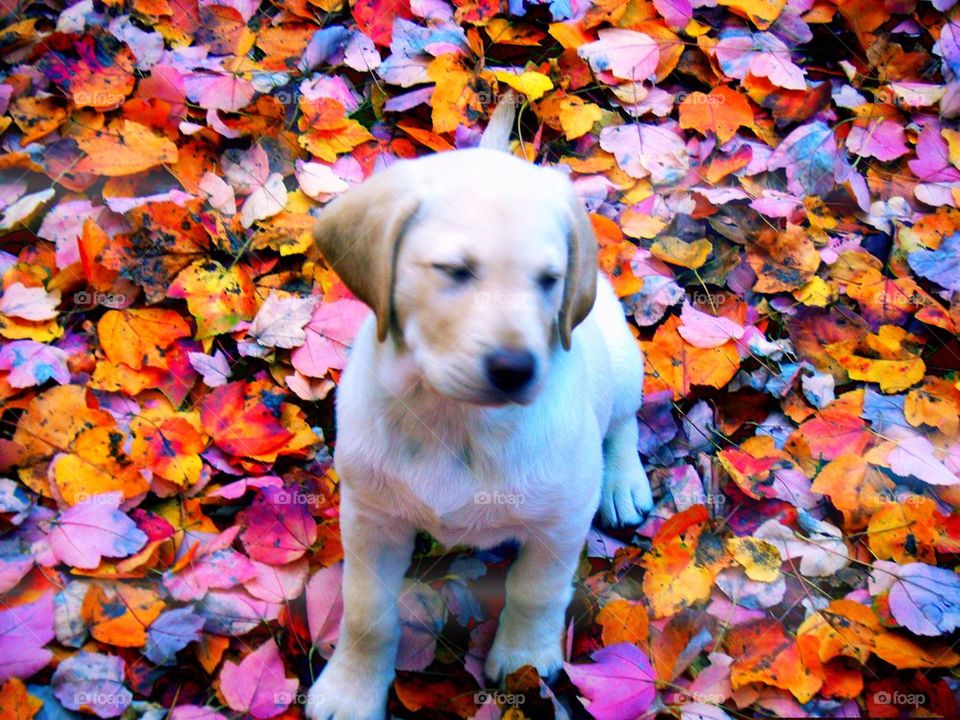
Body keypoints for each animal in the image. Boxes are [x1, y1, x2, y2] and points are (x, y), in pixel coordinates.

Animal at [308, 100, 652, 720]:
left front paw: (525, 658)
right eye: (453, 270)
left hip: (619, 359)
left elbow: (537, 592)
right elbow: (367, 612)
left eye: (549, 281)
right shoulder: (370, 517)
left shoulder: (561, 522)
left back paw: (622, 482)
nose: (516, 368)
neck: (455, 421)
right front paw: (350, 690)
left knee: (622, 421)